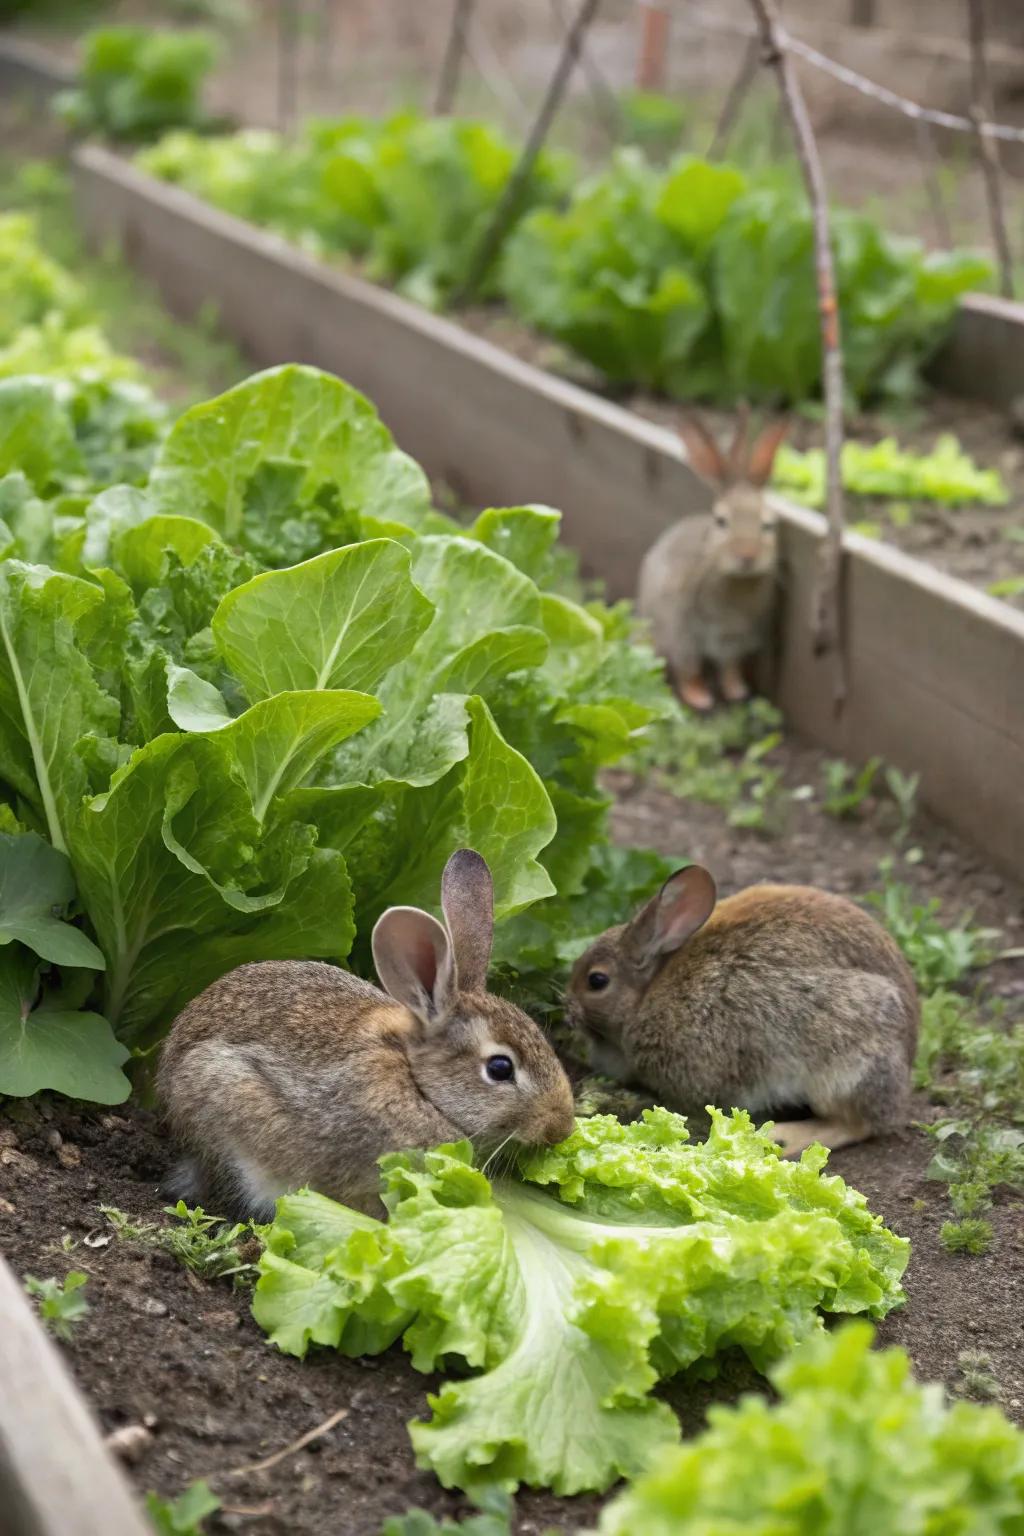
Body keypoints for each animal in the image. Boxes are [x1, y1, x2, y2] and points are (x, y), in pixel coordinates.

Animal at [565, 864, 919, 1158]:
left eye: (596, 981)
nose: (567, 1010)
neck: (646, 996)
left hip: (844, 1064)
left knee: (856, 1124)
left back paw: (784, 1137)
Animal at [637, 411, 790, 712]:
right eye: (721, 521)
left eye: (768, 525)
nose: (747, 556)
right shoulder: (687, 632)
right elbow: (689, 669)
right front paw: (702, 698)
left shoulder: (735, 639)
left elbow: (729, 667)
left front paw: (737, 691)